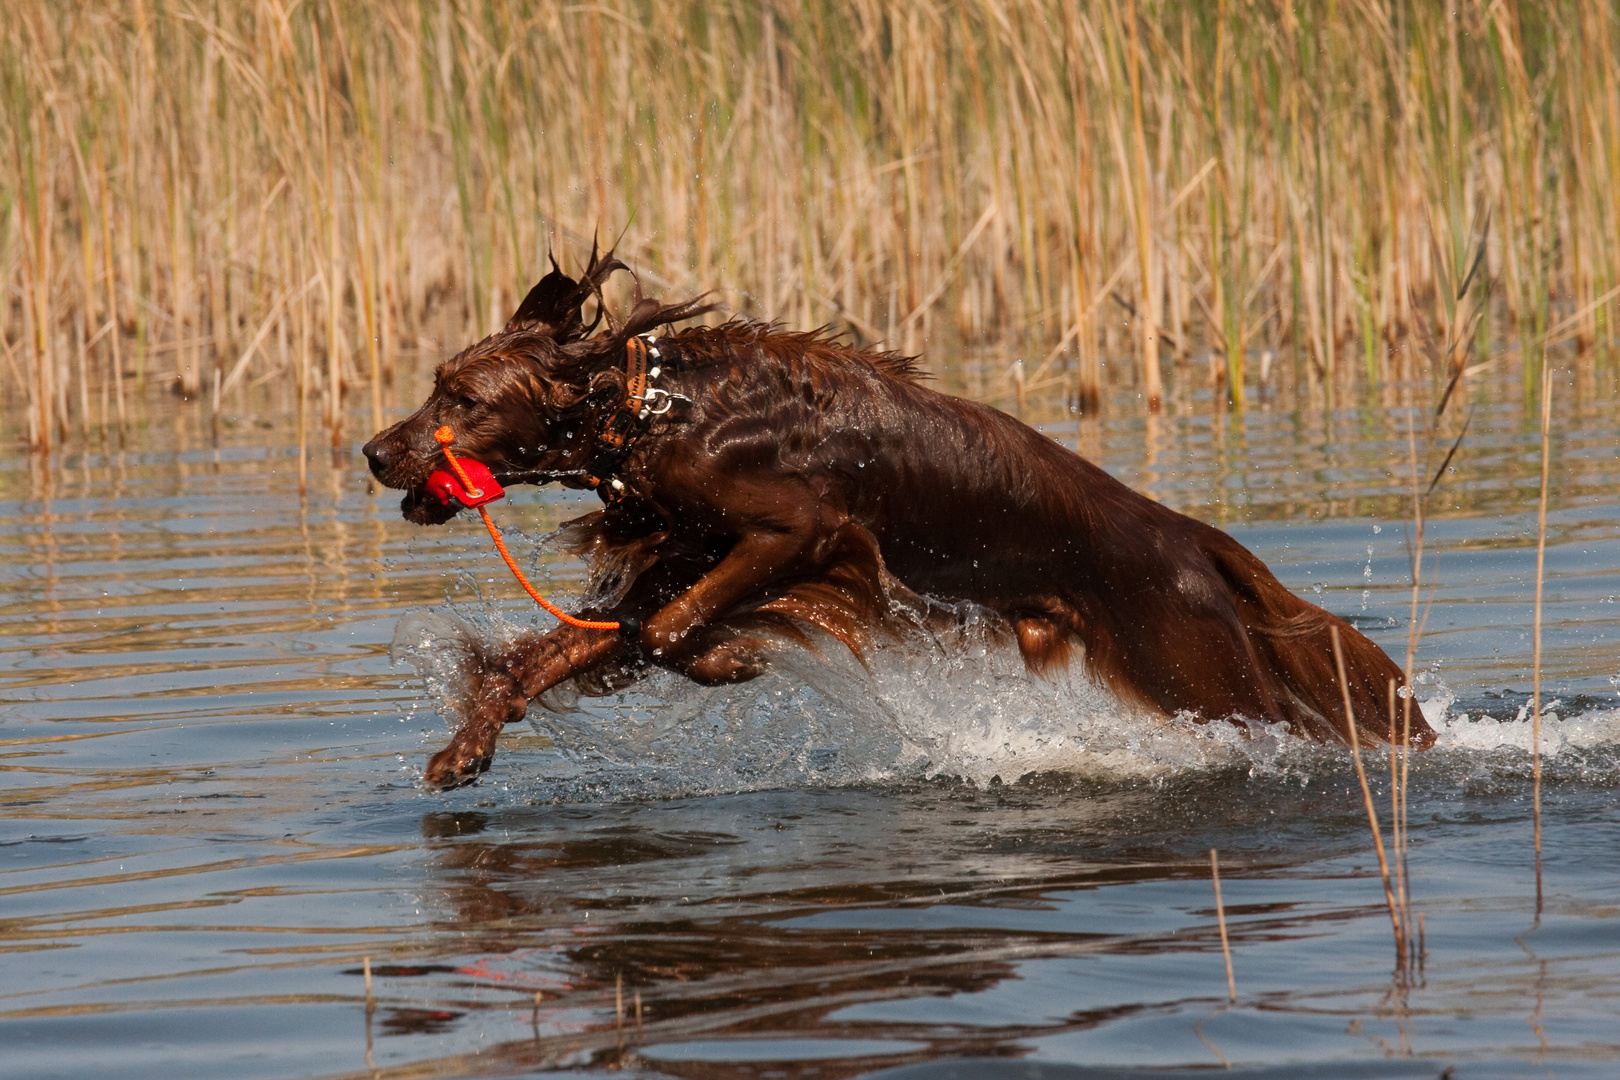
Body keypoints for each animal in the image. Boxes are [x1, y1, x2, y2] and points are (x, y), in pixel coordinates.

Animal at [364, 255, 1432, 793]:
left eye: (459, 396)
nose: (375, 452)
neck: (655, 406)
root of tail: (1189, 535)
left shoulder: (802, 533)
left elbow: (663, 632)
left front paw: (723, 661)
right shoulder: (687, 553)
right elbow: (569, 649)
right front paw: (467, 748)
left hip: (1200, 671)